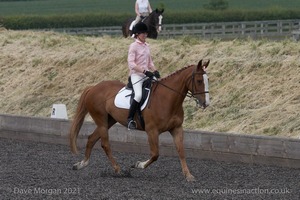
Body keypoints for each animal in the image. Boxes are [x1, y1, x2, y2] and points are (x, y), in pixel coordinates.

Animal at [69, 59, 211, 181]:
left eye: (207, 79)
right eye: (199, 81)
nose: (206, 103)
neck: (167, 99)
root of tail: (93, 87)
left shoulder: (176, 128)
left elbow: (181, 151)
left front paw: (188, 175)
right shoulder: (152, 131)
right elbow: (155, 154)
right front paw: (138, 165)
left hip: (109, 121)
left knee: (91, 138)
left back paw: (81, 164)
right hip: (102, 121)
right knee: (105, 144)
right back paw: (118, 170)